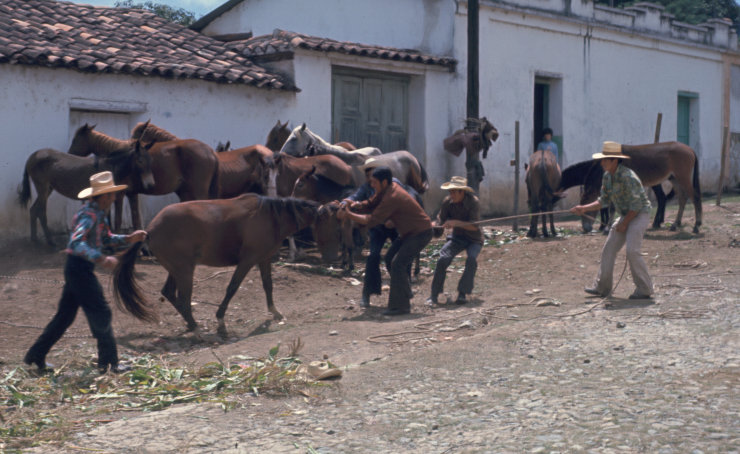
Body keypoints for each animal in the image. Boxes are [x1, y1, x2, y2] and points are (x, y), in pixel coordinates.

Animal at [18, 141, 156, 245]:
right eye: (140, 161)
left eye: (151, 160)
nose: (150, 184)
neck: (110, 168)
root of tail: (33, 155)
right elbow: (103, 217)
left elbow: (105, 218)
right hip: (43, 187)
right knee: (41, 211)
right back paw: (50, 243)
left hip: (48, 188)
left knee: (33, 209)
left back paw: (35, 240)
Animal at [68, 122, 220, 231]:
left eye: (75, 139)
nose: (69, 153)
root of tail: (211, 152)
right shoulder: (132, 194)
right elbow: (136, 221)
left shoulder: (120, 194)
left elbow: (118, 220)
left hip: (197, 192)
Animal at [111, 193, 336, 338]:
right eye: (331, 224)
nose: (331, 257)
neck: (271, 217)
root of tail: (149, 229)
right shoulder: (247, 261)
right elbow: (232, 288)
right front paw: (220, 321)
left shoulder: (264, 259)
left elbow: (268, 285)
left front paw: (274, 311)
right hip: (184, 271)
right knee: (183, 298)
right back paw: (196, 328)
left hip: (177, 270)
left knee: (169, 293)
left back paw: (190, 325)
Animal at [560, 141, 700, 234]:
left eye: (585, 207)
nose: (585, 228)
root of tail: (690, 149)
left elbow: (611, 208)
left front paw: (606, 228)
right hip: (674, 179)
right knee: (682, 199)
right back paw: (674, 224)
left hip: (682, 177)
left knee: (694, 197)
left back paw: (696, 226)